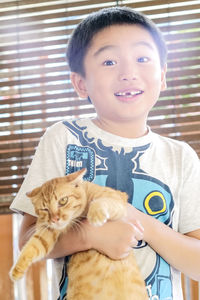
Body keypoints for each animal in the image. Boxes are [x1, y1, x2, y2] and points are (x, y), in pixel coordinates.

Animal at [10, 170, 148, 298]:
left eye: (63, 201)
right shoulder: (47, 229)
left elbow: (101, 201)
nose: (55, 219)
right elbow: (34, 245)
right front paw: (17, 269)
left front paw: (95, 215)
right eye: (45, 209)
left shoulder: (116, 197)